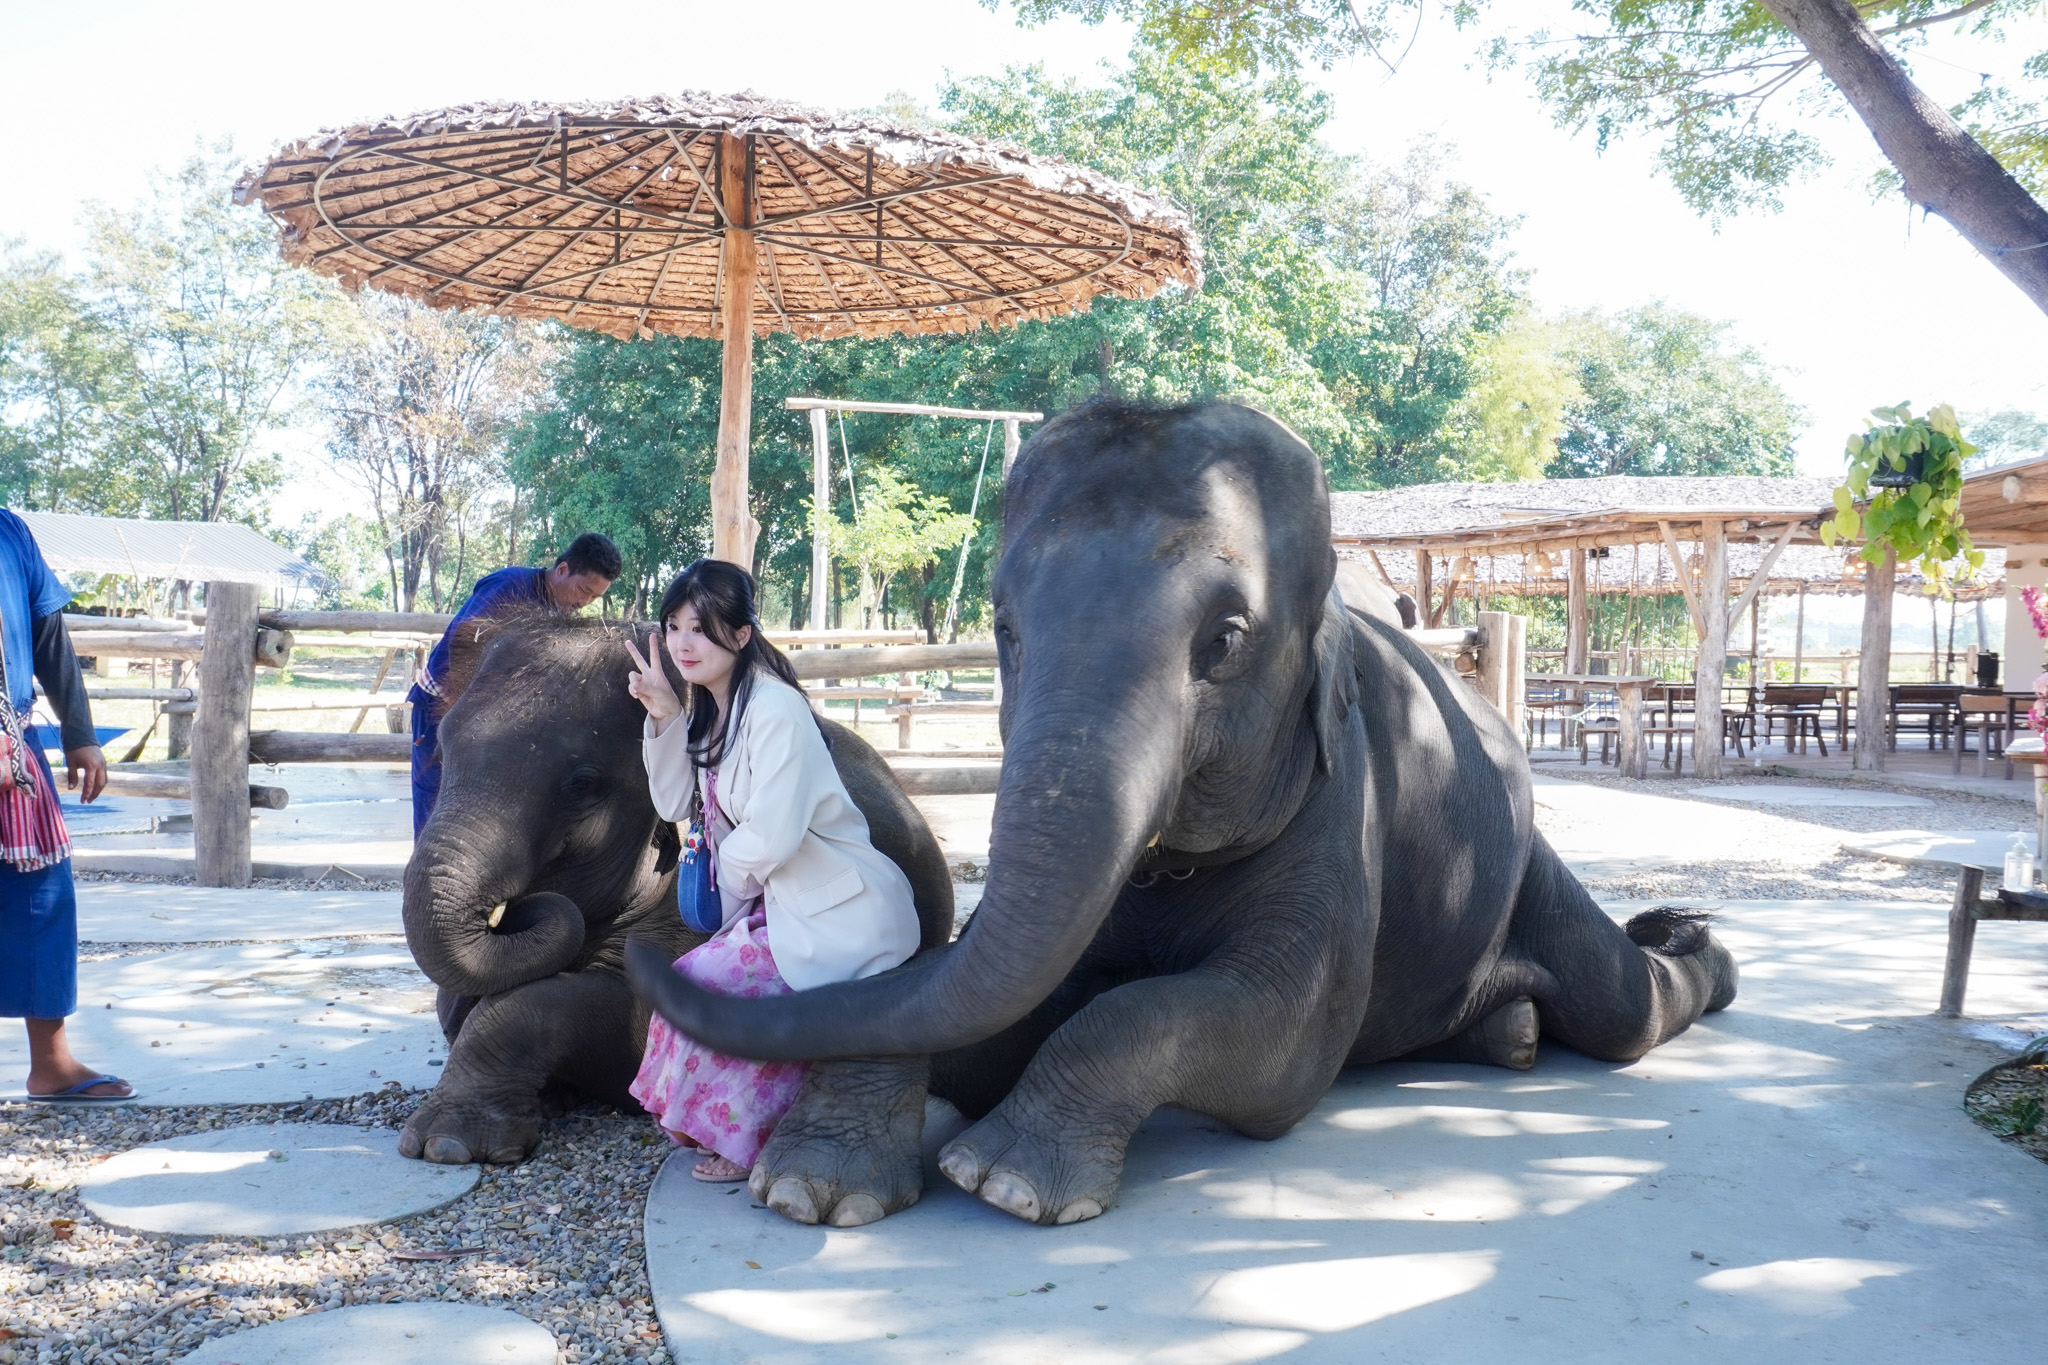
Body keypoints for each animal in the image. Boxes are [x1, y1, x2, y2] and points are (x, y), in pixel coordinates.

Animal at [395, 612, 955, 1165]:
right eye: (439, 748)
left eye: (583, 783)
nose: (517, 907)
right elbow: (455, 1001)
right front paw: (545, 1099)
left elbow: (630, 1019)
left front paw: (447, 1146)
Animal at [626, 397, 1739, 1228]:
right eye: (1001, 625)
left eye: (1228, 638)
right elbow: (987, 990)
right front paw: (809, 1187)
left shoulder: (1343, 810)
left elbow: (1277, 1037)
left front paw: (1006, 1179)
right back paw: (1511, 1032)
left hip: (1525, 864)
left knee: (1618, 1009)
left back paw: (1692, 952)